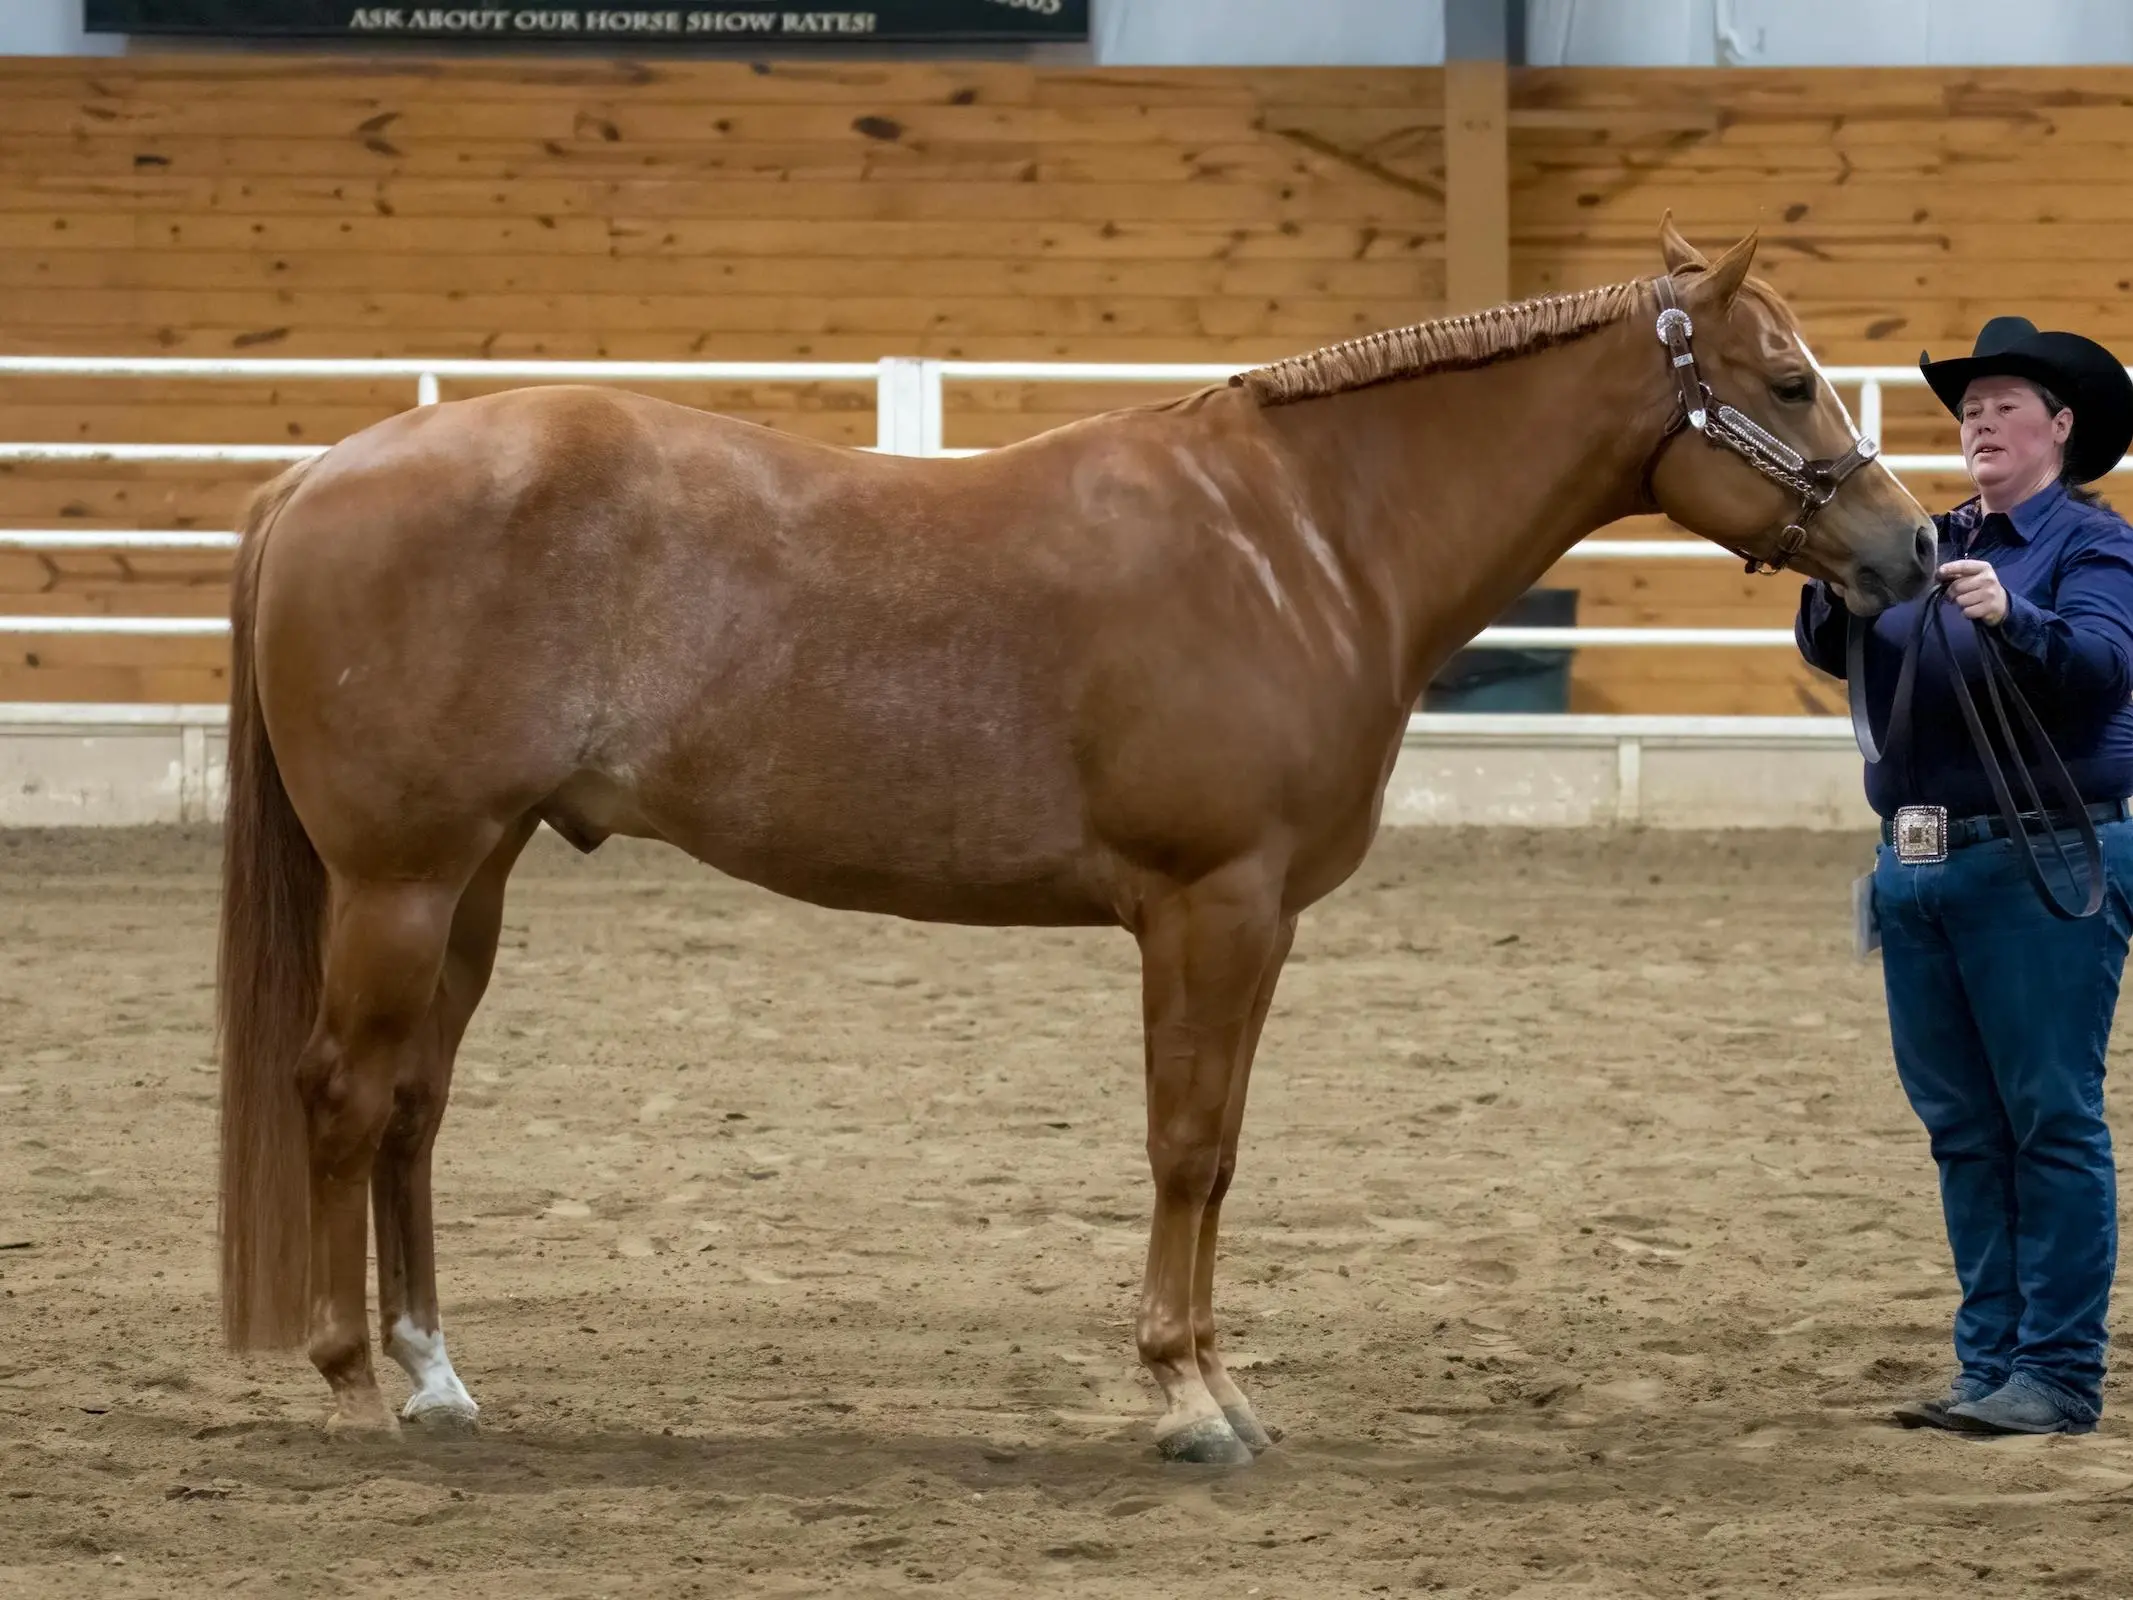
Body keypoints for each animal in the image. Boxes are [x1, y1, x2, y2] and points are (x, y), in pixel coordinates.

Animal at [212, 222, 1936, 1467]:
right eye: (1788, 383)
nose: (1913, 549)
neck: (1302, 540)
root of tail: (318, 474)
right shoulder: (1207, 907)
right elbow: (1183, 1144)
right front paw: (1183, 1402)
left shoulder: (1261, 922)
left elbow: (1220, 1149)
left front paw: (1221, 1387)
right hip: (398, 882)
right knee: (345, 1096)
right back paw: (351, 1388)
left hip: (474, 878)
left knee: (415, 1109)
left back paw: (438, 1380)